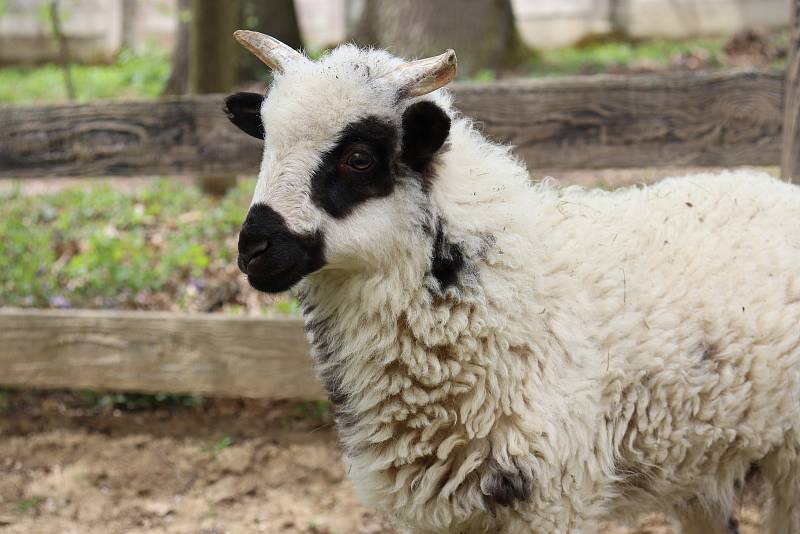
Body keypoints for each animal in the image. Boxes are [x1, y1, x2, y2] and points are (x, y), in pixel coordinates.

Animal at [223, 30, 800, 534]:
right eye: (265, 143)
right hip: (698, 465)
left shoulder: (555, 498)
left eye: (359, 157)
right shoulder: (429, 509)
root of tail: (776, 187)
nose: (253, 250)